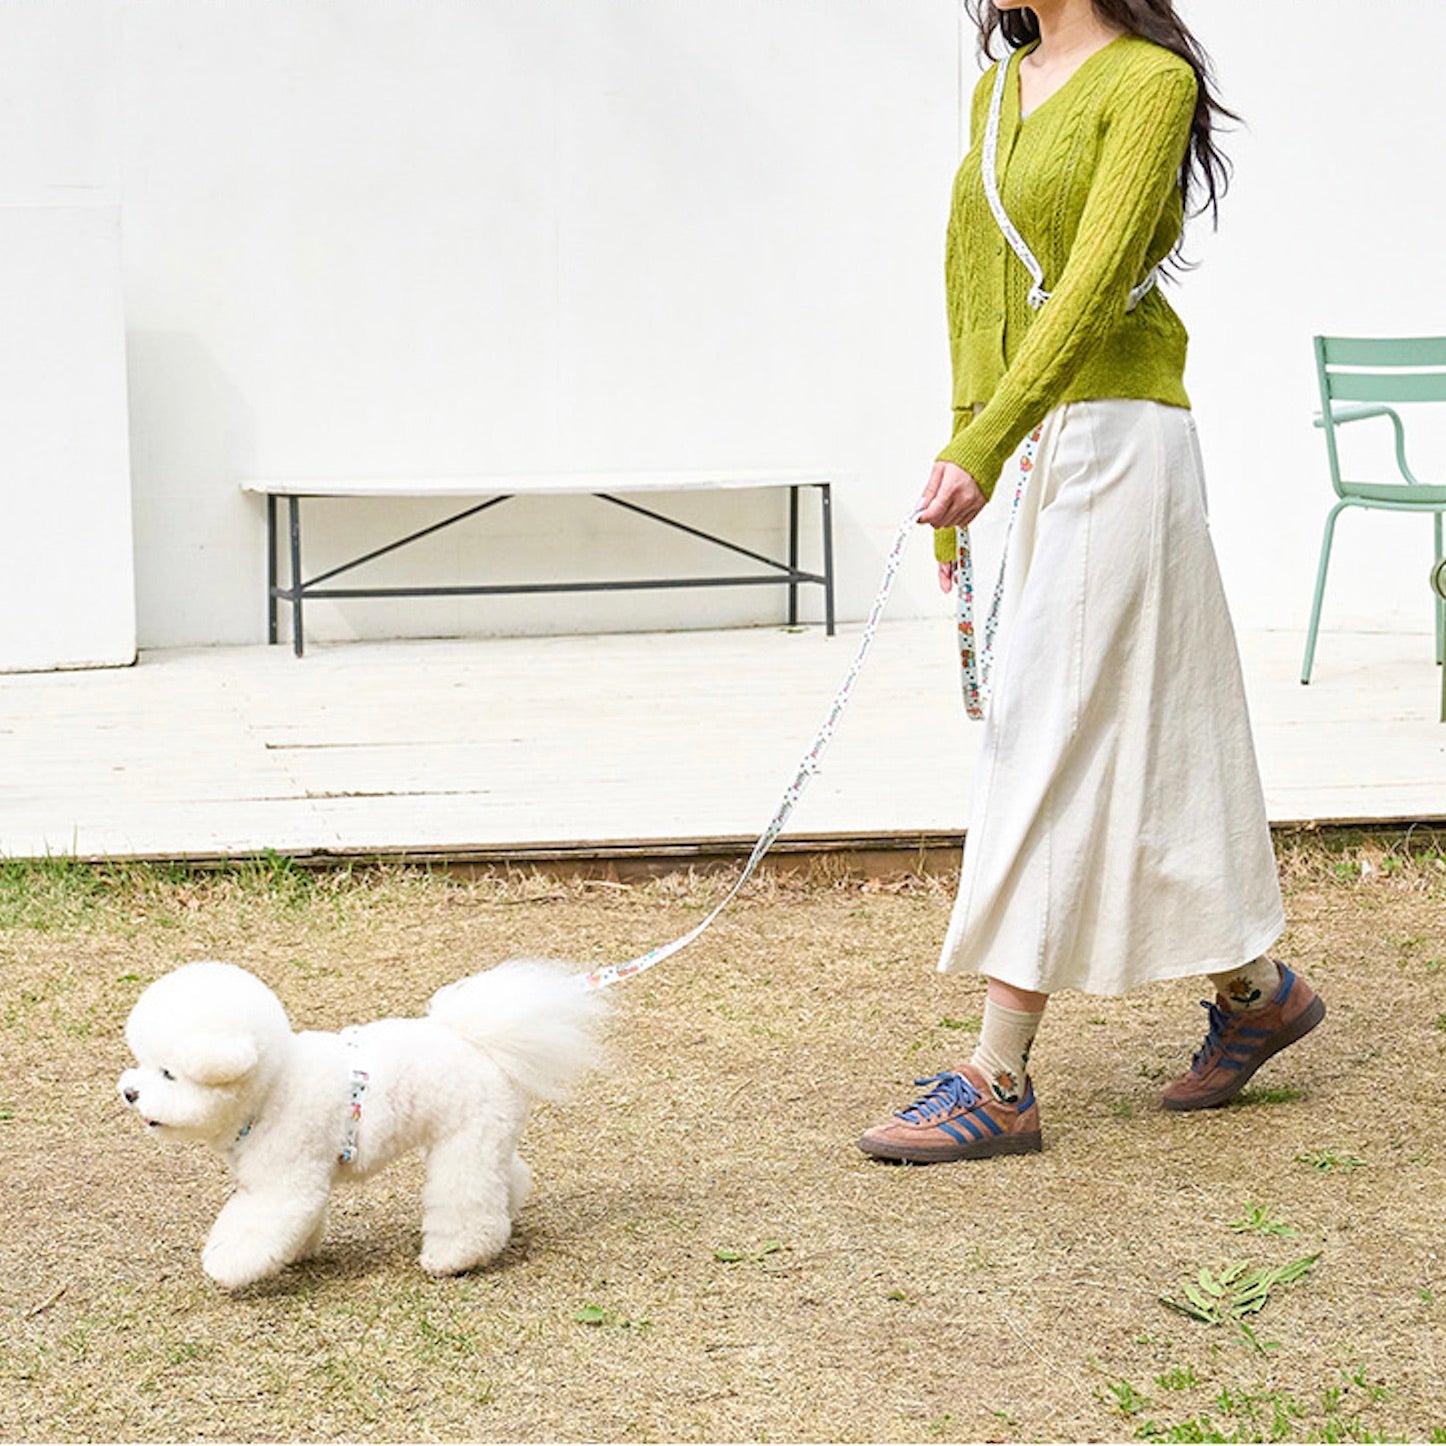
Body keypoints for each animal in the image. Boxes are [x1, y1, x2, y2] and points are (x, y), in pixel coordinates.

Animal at [118, 958, 605, 1289]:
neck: (273, 1086)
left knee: (468, 1203)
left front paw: (226, 1263)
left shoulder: (284, 1183)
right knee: (507, 1175)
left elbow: (254, 1226)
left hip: (463, 1144)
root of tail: (476, 1040)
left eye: (168, 1073)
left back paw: (454, 1257)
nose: (129, 1092)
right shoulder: (304, 1177)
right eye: (141, 1062)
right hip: (482, 1136)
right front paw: (296, 1251)